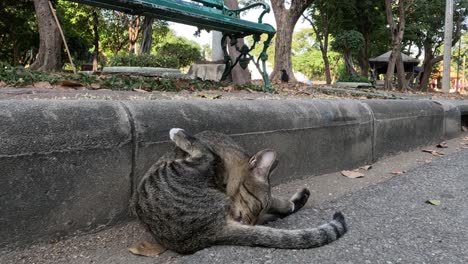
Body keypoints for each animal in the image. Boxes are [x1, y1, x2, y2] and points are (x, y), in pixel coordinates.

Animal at [133, 129, 348, 255]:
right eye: (258, 206)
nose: (252, 222)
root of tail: (210, 232)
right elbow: (278, 202)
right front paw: (288, 204)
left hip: (185, 167)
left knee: (203, 152)